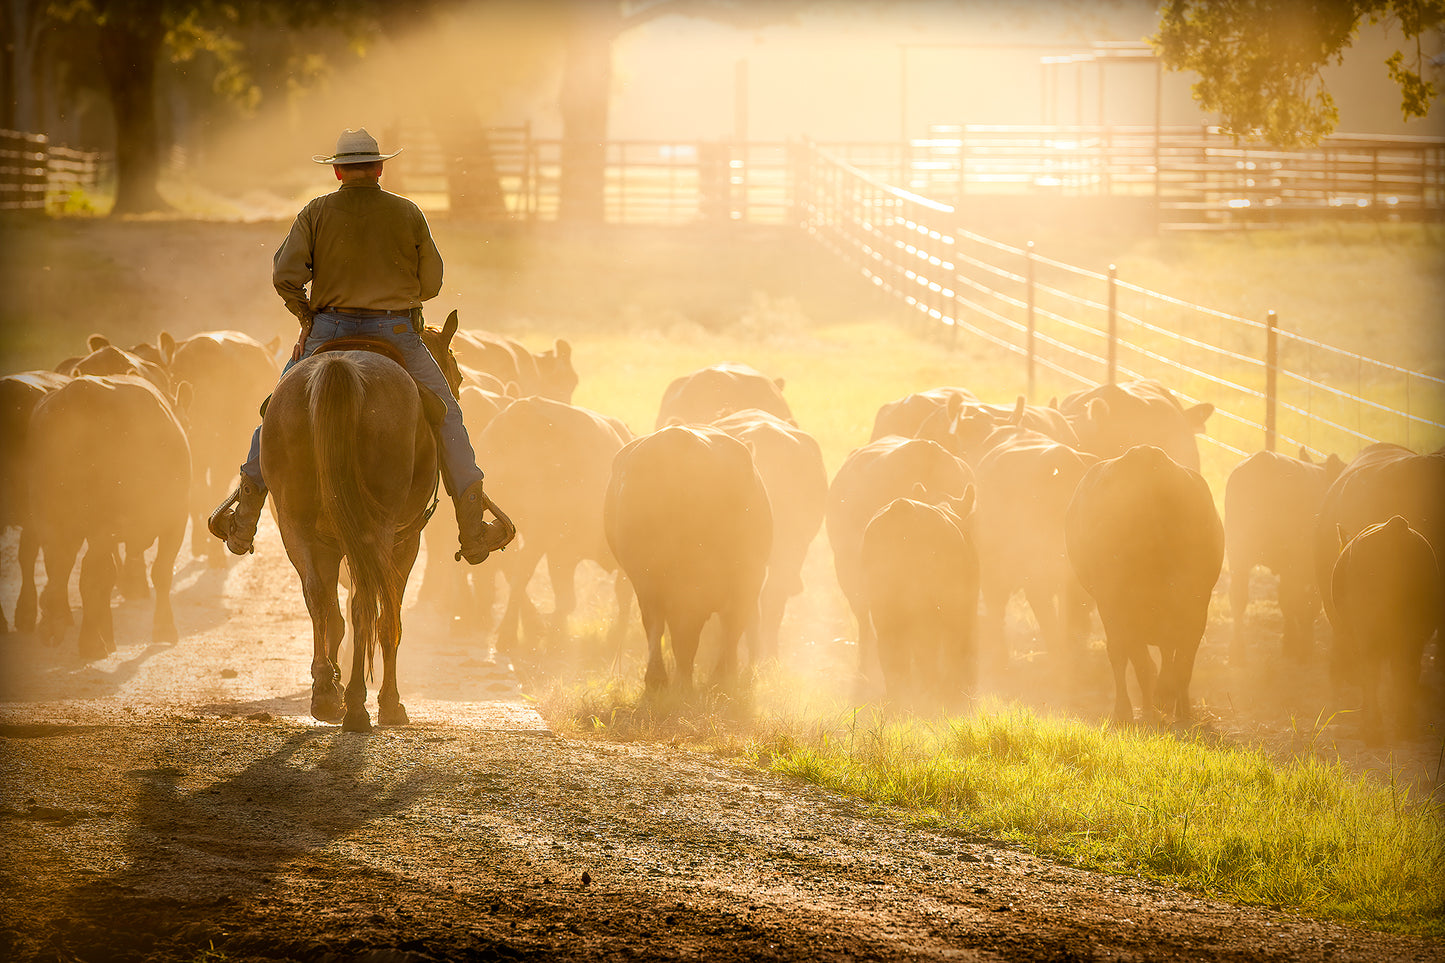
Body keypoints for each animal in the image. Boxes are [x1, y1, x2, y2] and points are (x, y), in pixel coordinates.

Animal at [262, 315, 476, 728]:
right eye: (456, 372)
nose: (457, 395)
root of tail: (338, 369)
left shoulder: (330, 546)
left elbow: (333, 612)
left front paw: (331, 684)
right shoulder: (405, 542)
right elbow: (389, 617)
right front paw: (390, 704)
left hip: (297, 528)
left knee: (319, 598)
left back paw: (327, 697)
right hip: (377, 533)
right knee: (365, 604)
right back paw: (358, 705)